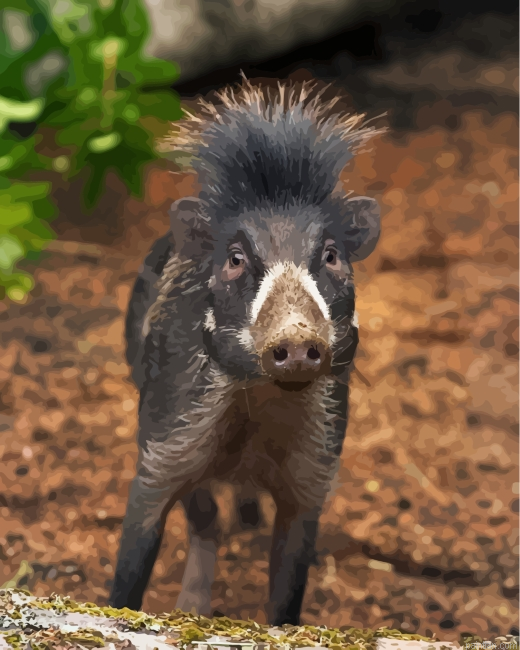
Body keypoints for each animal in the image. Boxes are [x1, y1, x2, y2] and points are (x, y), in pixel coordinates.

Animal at [109, 76, 383, 625]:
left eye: (331, 255)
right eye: (235, 259)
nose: (296, 340)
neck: (258, 412)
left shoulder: (313, 476)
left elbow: (286, 596)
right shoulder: (161, 447)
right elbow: (133, 569)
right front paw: (182, 613)